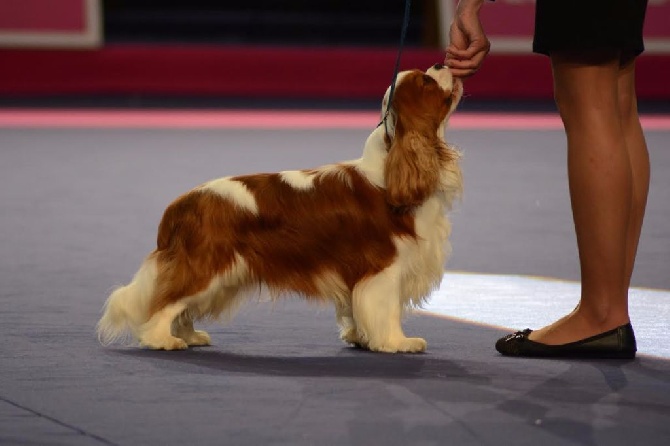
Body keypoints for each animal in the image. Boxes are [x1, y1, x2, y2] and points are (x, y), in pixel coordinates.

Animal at [97, 64, 464, 354]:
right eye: (426, 81)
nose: (440, 62)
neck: (391, 167)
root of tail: (182, 203)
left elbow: (355, 311)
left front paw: (359, 338)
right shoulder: (383, 269)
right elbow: (385, 310)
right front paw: (396, 342)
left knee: (183, 308)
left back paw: (189, 336)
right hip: (206, 266)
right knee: (167, 302)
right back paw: (161, 339)